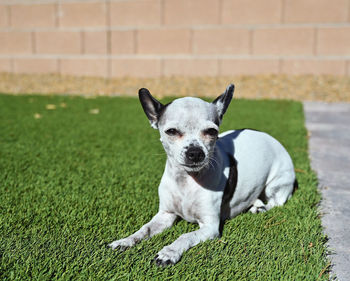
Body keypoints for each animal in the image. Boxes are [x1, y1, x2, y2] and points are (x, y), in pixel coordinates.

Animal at [108, 85, 296, 264]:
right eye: (171, 131)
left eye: (211, 131)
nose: (195, 152)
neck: (186, 180)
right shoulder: (165, 215)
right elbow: (144, 229)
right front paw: (126, 241)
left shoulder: (210, 227)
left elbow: (185, 236)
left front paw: (169, 252)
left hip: (275, 185)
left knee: (277, 202)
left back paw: (262, 208)